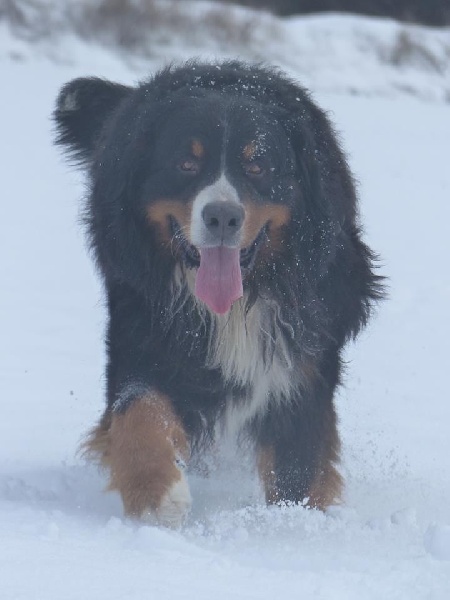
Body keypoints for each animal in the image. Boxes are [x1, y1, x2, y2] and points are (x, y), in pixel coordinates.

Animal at [53, 57, 384, 524]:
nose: (223, 217)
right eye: (186, 164)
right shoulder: (143, 329)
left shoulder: (301, 360)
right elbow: (139, 409)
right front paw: (157, 495)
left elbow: (298, 464)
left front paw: (292, 525)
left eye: (258, 166)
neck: (237, 304)